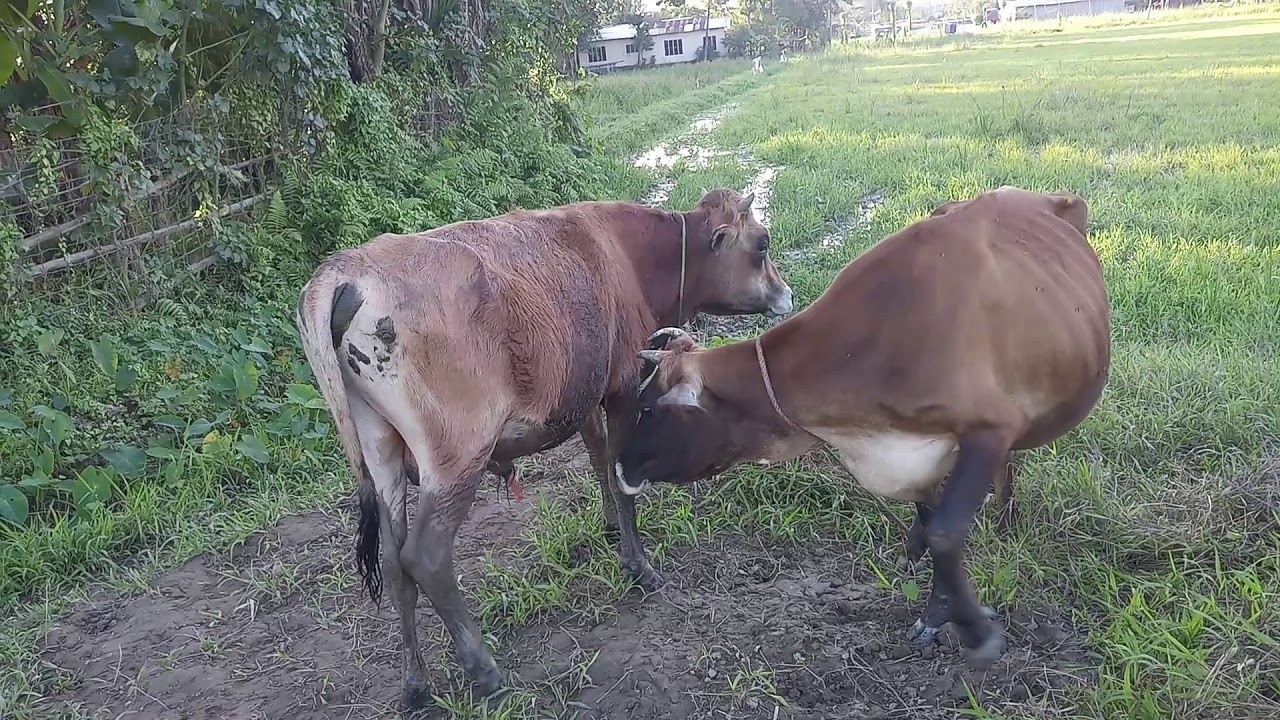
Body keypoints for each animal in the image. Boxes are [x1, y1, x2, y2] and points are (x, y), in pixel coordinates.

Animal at [295, 188, 793, 709]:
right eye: (762, 243)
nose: (786, 294)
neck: (631, 254)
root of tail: (349, 268)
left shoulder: (586, 393)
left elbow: (599, 458)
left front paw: (611, 529)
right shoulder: (622, 384)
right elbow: (622, 478)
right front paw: (639, 567)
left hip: (381, 448)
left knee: (395, 567)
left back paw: (416, 684)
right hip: (456, 458)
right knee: (425, 557)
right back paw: (483, 670)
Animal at [615, 186, 1111, 668]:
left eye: (650, 409)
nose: (620, 468)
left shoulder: (990, 427)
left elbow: (946, 533)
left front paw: (978, 631)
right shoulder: (917, 455)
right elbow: (931, 524)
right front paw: (937, 612)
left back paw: (1005, 519)